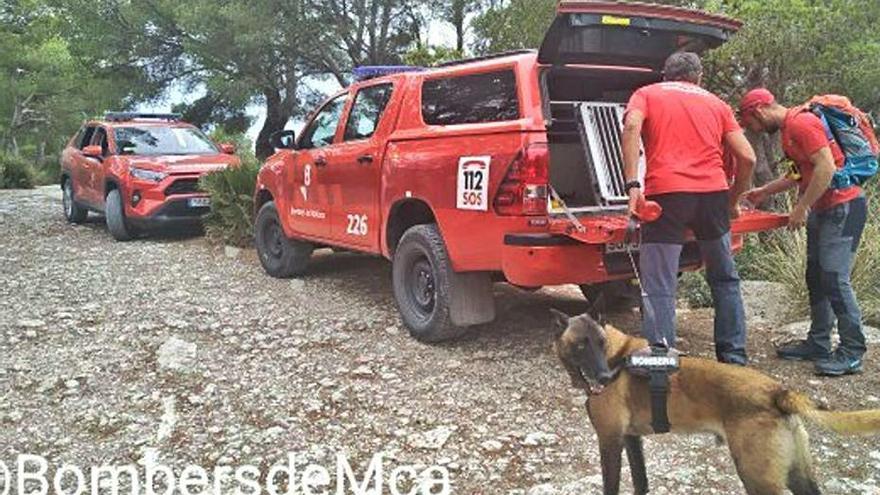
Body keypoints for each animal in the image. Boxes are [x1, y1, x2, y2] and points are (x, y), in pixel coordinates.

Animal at [552, 310, 880, 495]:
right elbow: (641, 482)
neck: (618, 357)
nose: (605, 377)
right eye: (581, 345)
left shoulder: (610, 441)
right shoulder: (631, 440)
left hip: (758, 478)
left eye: (601, 343)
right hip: (797, 476)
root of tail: (777, 392)